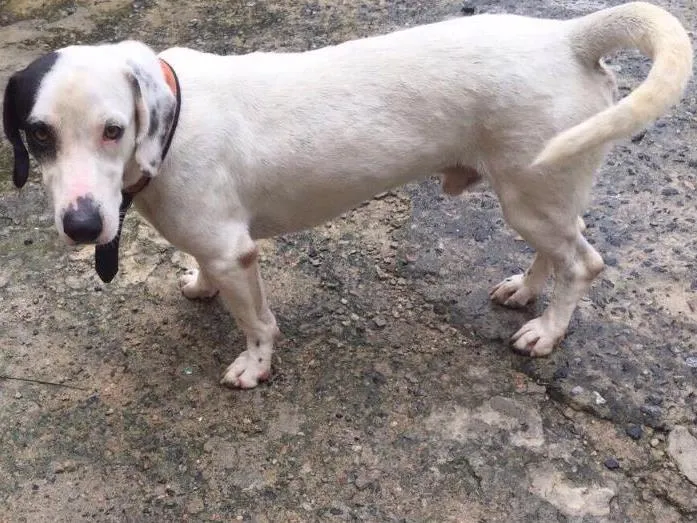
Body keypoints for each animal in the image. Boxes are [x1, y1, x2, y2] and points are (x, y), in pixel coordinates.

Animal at [4, 2, 692, 388]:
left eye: (113, 129)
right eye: (38, 135)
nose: (84, 226)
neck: (172, 122)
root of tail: (568, 37)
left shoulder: (236, 254)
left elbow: (257, 322)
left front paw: (256, 366)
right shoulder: (210, 240)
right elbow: (203, 268)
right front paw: (199, 286)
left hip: (530, 194)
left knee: (583, 262)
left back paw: (547, 331)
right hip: (537, 198)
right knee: (559, 247)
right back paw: (526, 292)